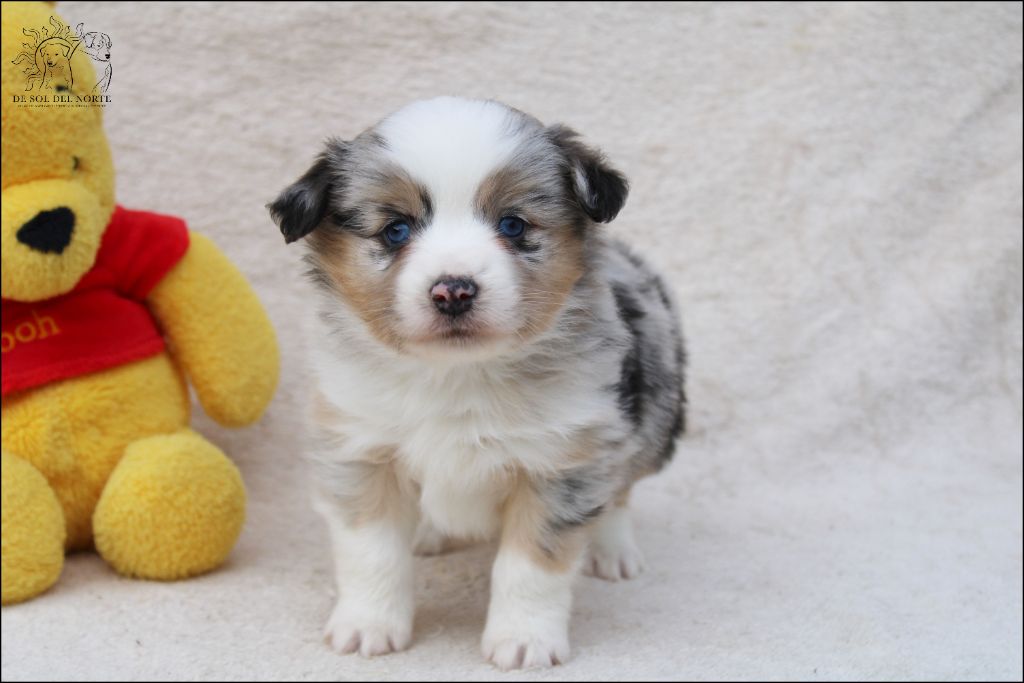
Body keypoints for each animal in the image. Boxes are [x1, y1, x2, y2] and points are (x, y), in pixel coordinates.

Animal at [269, 96, 686, 670]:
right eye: (395, 230)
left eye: (513, 225)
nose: (453, 291)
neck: (458, 374)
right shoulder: (361, 449)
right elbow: (372, 553)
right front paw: (368, 626)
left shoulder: (562, 461)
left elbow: (531, 566)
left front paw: (524, 639)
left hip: (654, 411)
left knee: (621, 488)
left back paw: (613, 550)